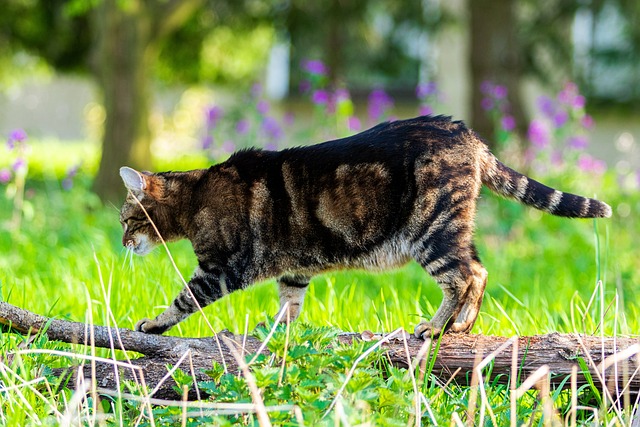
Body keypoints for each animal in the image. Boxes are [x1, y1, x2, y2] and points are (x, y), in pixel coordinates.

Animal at [117, 115, 612, 340]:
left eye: (125, 219)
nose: (122, 241)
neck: (195, 196)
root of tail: (464, 133)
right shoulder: (294, 269)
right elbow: (289, 304)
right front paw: (275, 332)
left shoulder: (219, 268)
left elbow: (182, 300)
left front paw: (153, 324)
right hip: (453, 229)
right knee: (480, 270)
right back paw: (461, 326)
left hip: (431, 230)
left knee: (464, 276)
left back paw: (436, 328)